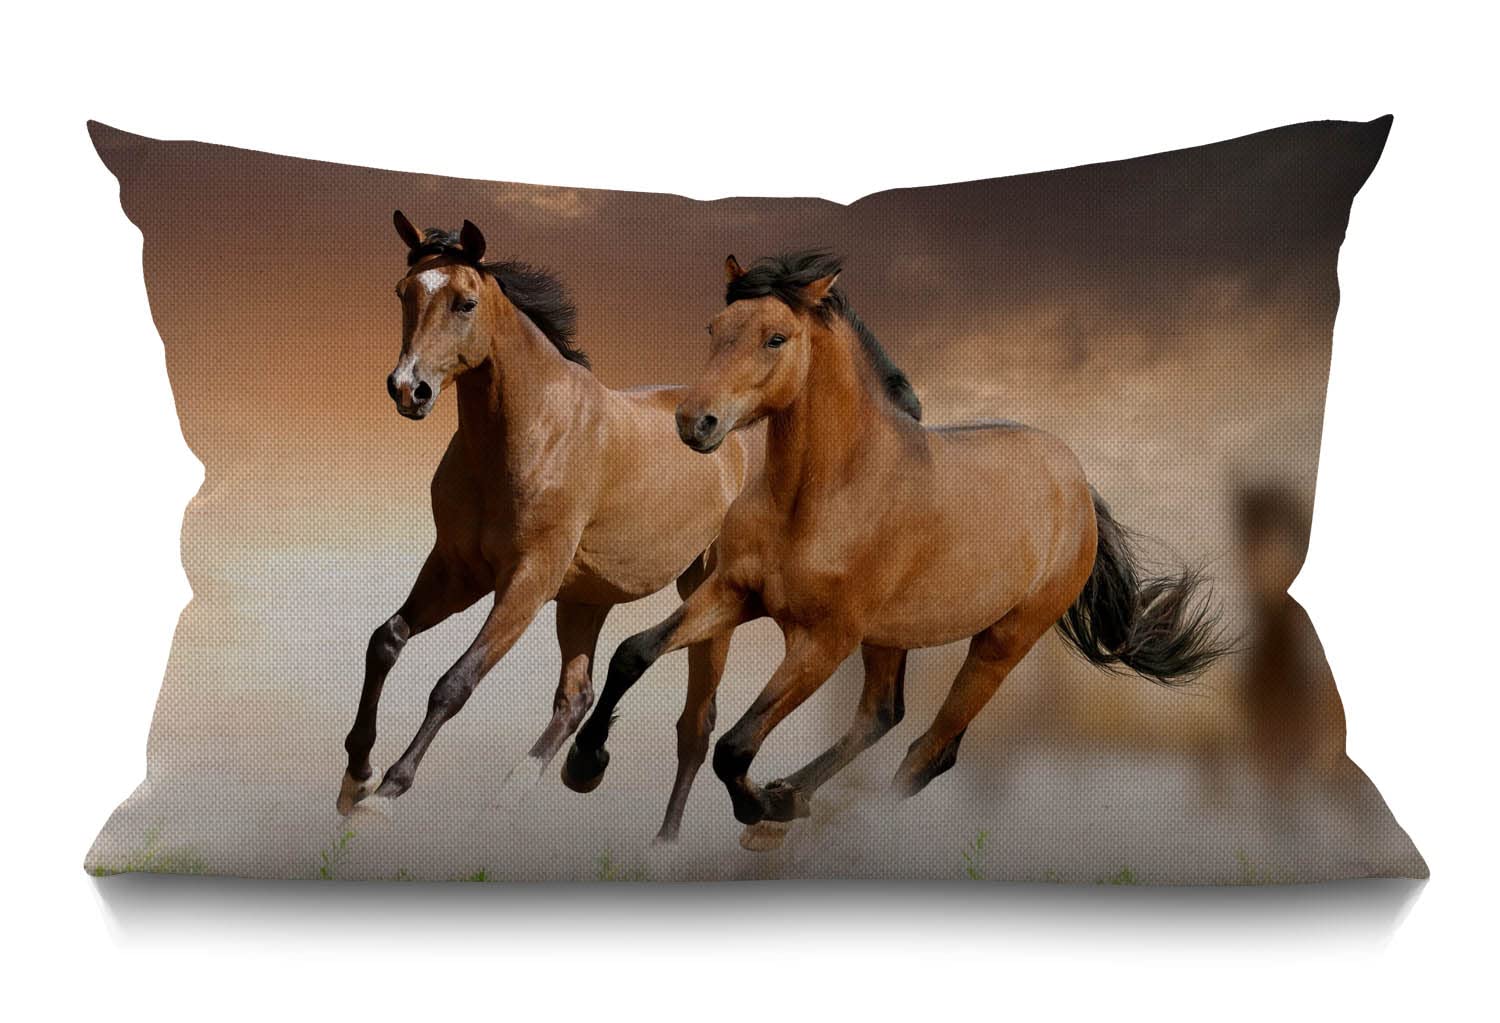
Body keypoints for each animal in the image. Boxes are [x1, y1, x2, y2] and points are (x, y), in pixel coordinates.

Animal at [335, 211, 755, 842]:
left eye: (465, 302)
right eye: (404, 292)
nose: (409, 389)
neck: (532, 432)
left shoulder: (527, 581)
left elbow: (455, 682)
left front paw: (387, 793)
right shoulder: (457, 569)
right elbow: (386, 640)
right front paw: (356, 777)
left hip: (706, 597)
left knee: (695, 728)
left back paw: (662, 841)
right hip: (585, 599)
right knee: (576, 699)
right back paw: (527, 792)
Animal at [561, 251, 1228, 845]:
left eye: (776, 338)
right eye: (714, 329)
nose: (694, 422)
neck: (823, 494)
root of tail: (1078, 482)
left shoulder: (823, 640)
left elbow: (735, 746)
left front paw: (762, 807)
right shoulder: (733, 593)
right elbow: (632, 653)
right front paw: (584, 765)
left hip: (1002, 641)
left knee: (931, 750)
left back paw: (812, 822)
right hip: (891, 635)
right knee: (881, 715)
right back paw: (792, 800)